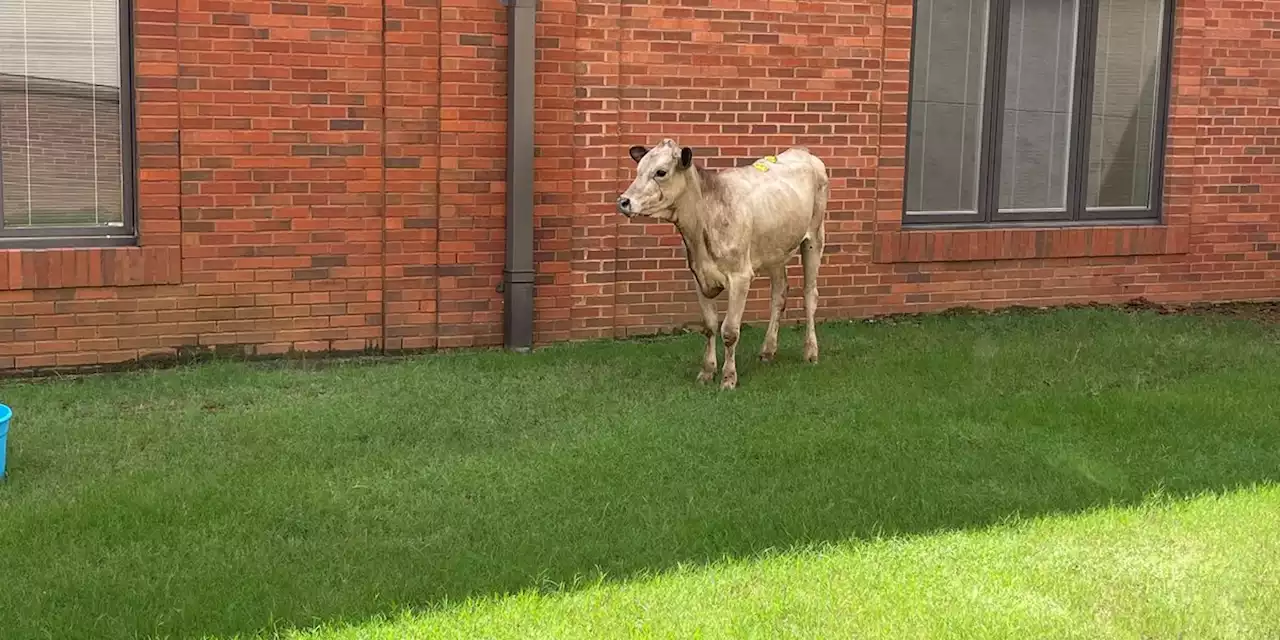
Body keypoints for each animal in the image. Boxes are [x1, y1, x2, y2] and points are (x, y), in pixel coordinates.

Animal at [616, 138, 829, 389]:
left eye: (661, 172)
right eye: (638, 170)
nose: (624, 201)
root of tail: (803, 152)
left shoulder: (740, 277)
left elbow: (729, 330)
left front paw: (728, 378)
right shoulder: (699, 276)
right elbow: (709, 326)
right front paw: (707, 372)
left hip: (815, 237)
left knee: (810, 295)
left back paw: (811, 352)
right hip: (776, 249)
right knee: (779, 294)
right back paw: (767, 351)